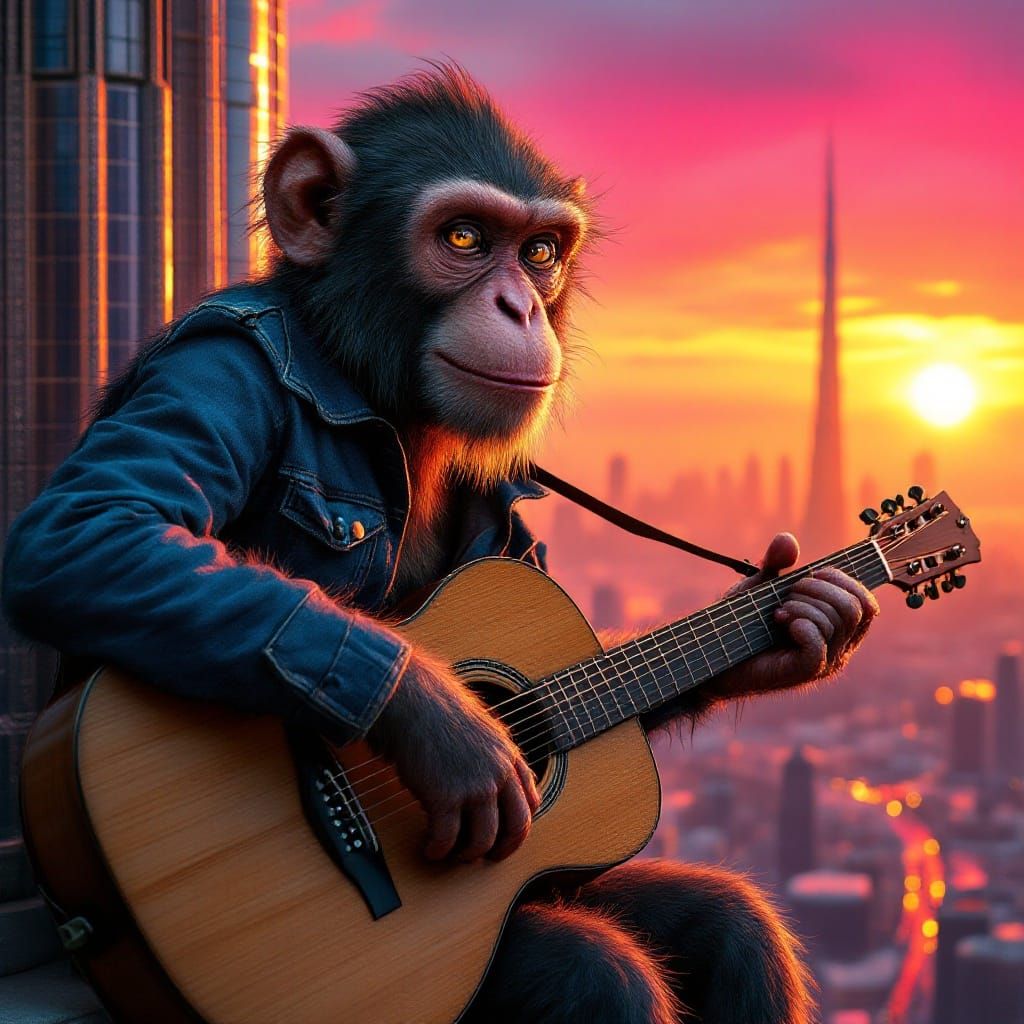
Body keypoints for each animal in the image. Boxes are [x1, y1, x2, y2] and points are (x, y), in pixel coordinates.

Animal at [3, 65, 878, 1023]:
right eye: (464, 237)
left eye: (541, 253)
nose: (520, 305)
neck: (377, 391)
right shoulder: (218, 361)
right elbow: (89, 525)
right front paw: (461, 739)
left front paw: (810, 618)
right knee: (593, 972)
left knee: (730, 923)